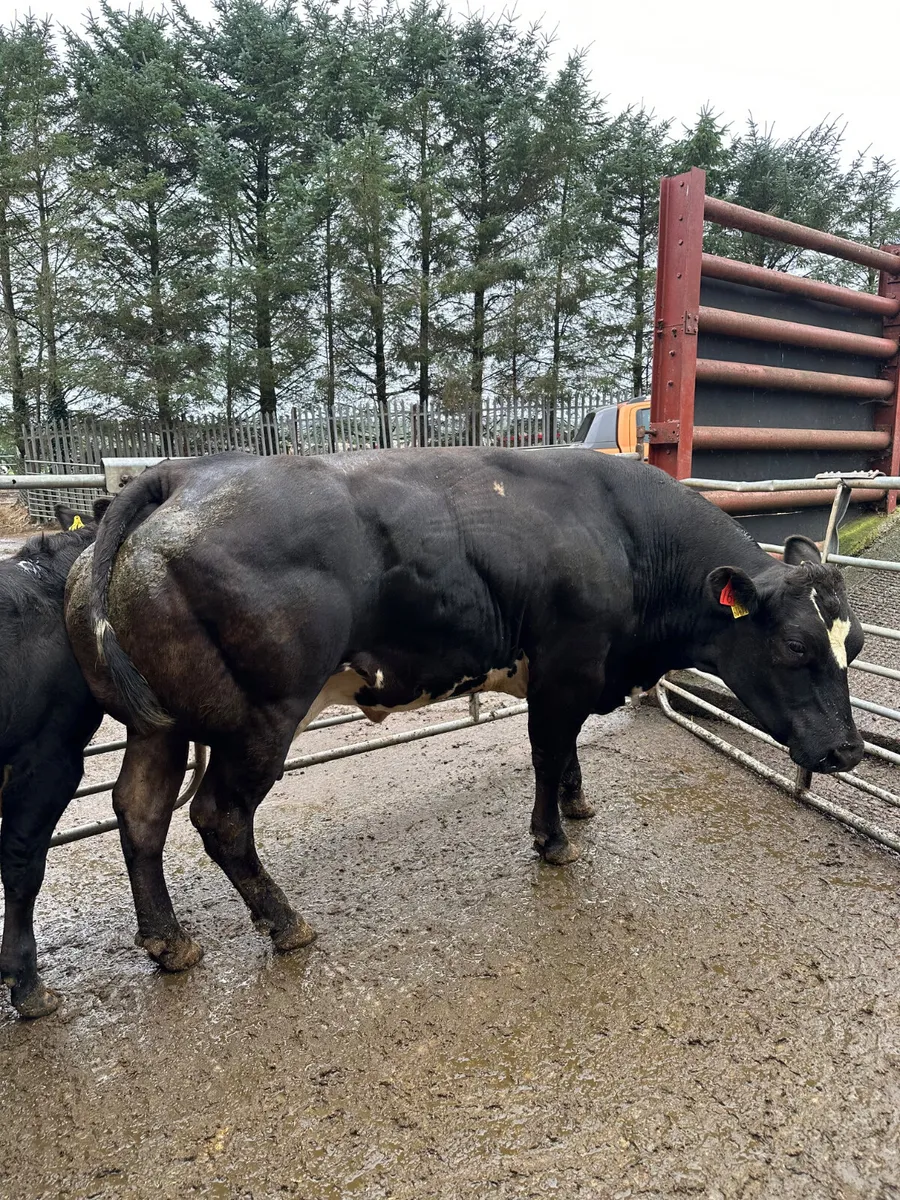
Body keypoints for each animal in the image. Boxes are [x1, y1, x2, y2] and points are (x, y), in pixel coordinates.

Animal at [64, 450, 864, 974]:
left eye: (854, 642)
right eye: (796, 647)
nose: (848, 753)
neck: (626, 535)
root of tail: (180, 475)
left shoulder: (571, 672)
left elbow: (568, 753)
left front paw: (577, 805)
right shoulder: (569, 666)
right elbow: (547, 750)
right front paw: (553, 839)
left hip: (158, 725)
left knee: (139, 810)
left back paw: (168, 942)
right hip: (261, 716)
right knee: (219, 817)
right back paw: (285, 924)